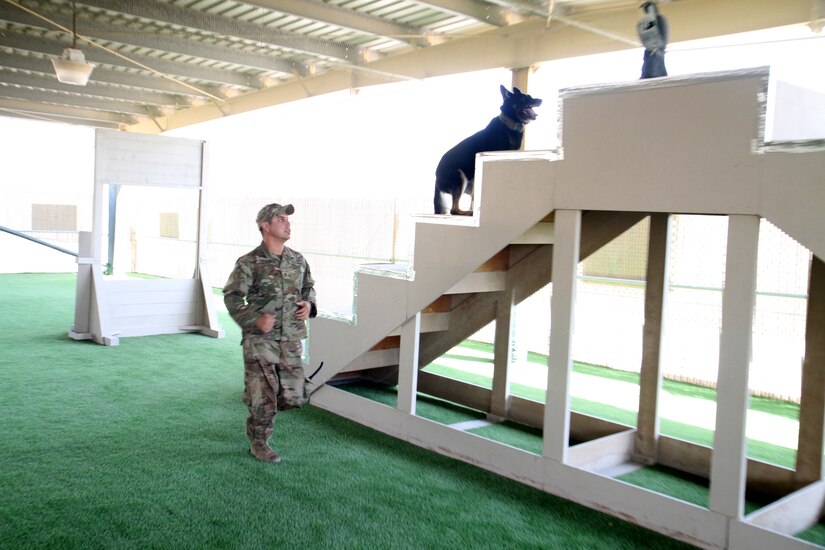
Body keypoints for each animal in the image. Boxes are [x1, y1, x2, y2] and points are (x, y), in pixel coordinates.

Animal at [432, 85, 540, 217]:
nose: (541, 100)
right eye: (525, 98)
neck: (510, 124)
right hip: (460, 178)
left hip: (470, 182)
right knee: (454, 210)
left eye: (530, 96)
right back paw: (468, 212)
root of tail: (436, 178)